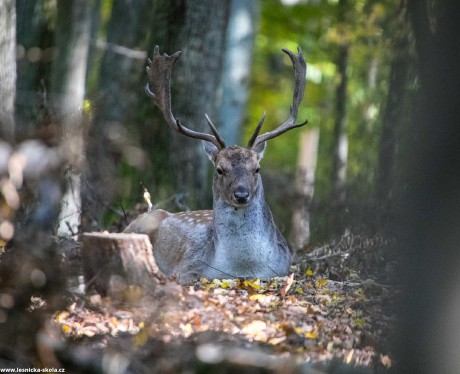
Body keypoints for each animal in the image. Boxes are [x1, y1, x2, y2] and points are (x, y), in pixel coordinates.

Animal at [124, 44, 308, 284]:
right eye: (220, 170)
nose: (241, 194)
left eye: (256, 169)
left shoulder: (283, 269)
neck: (242, 268)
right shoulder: (186, 268)